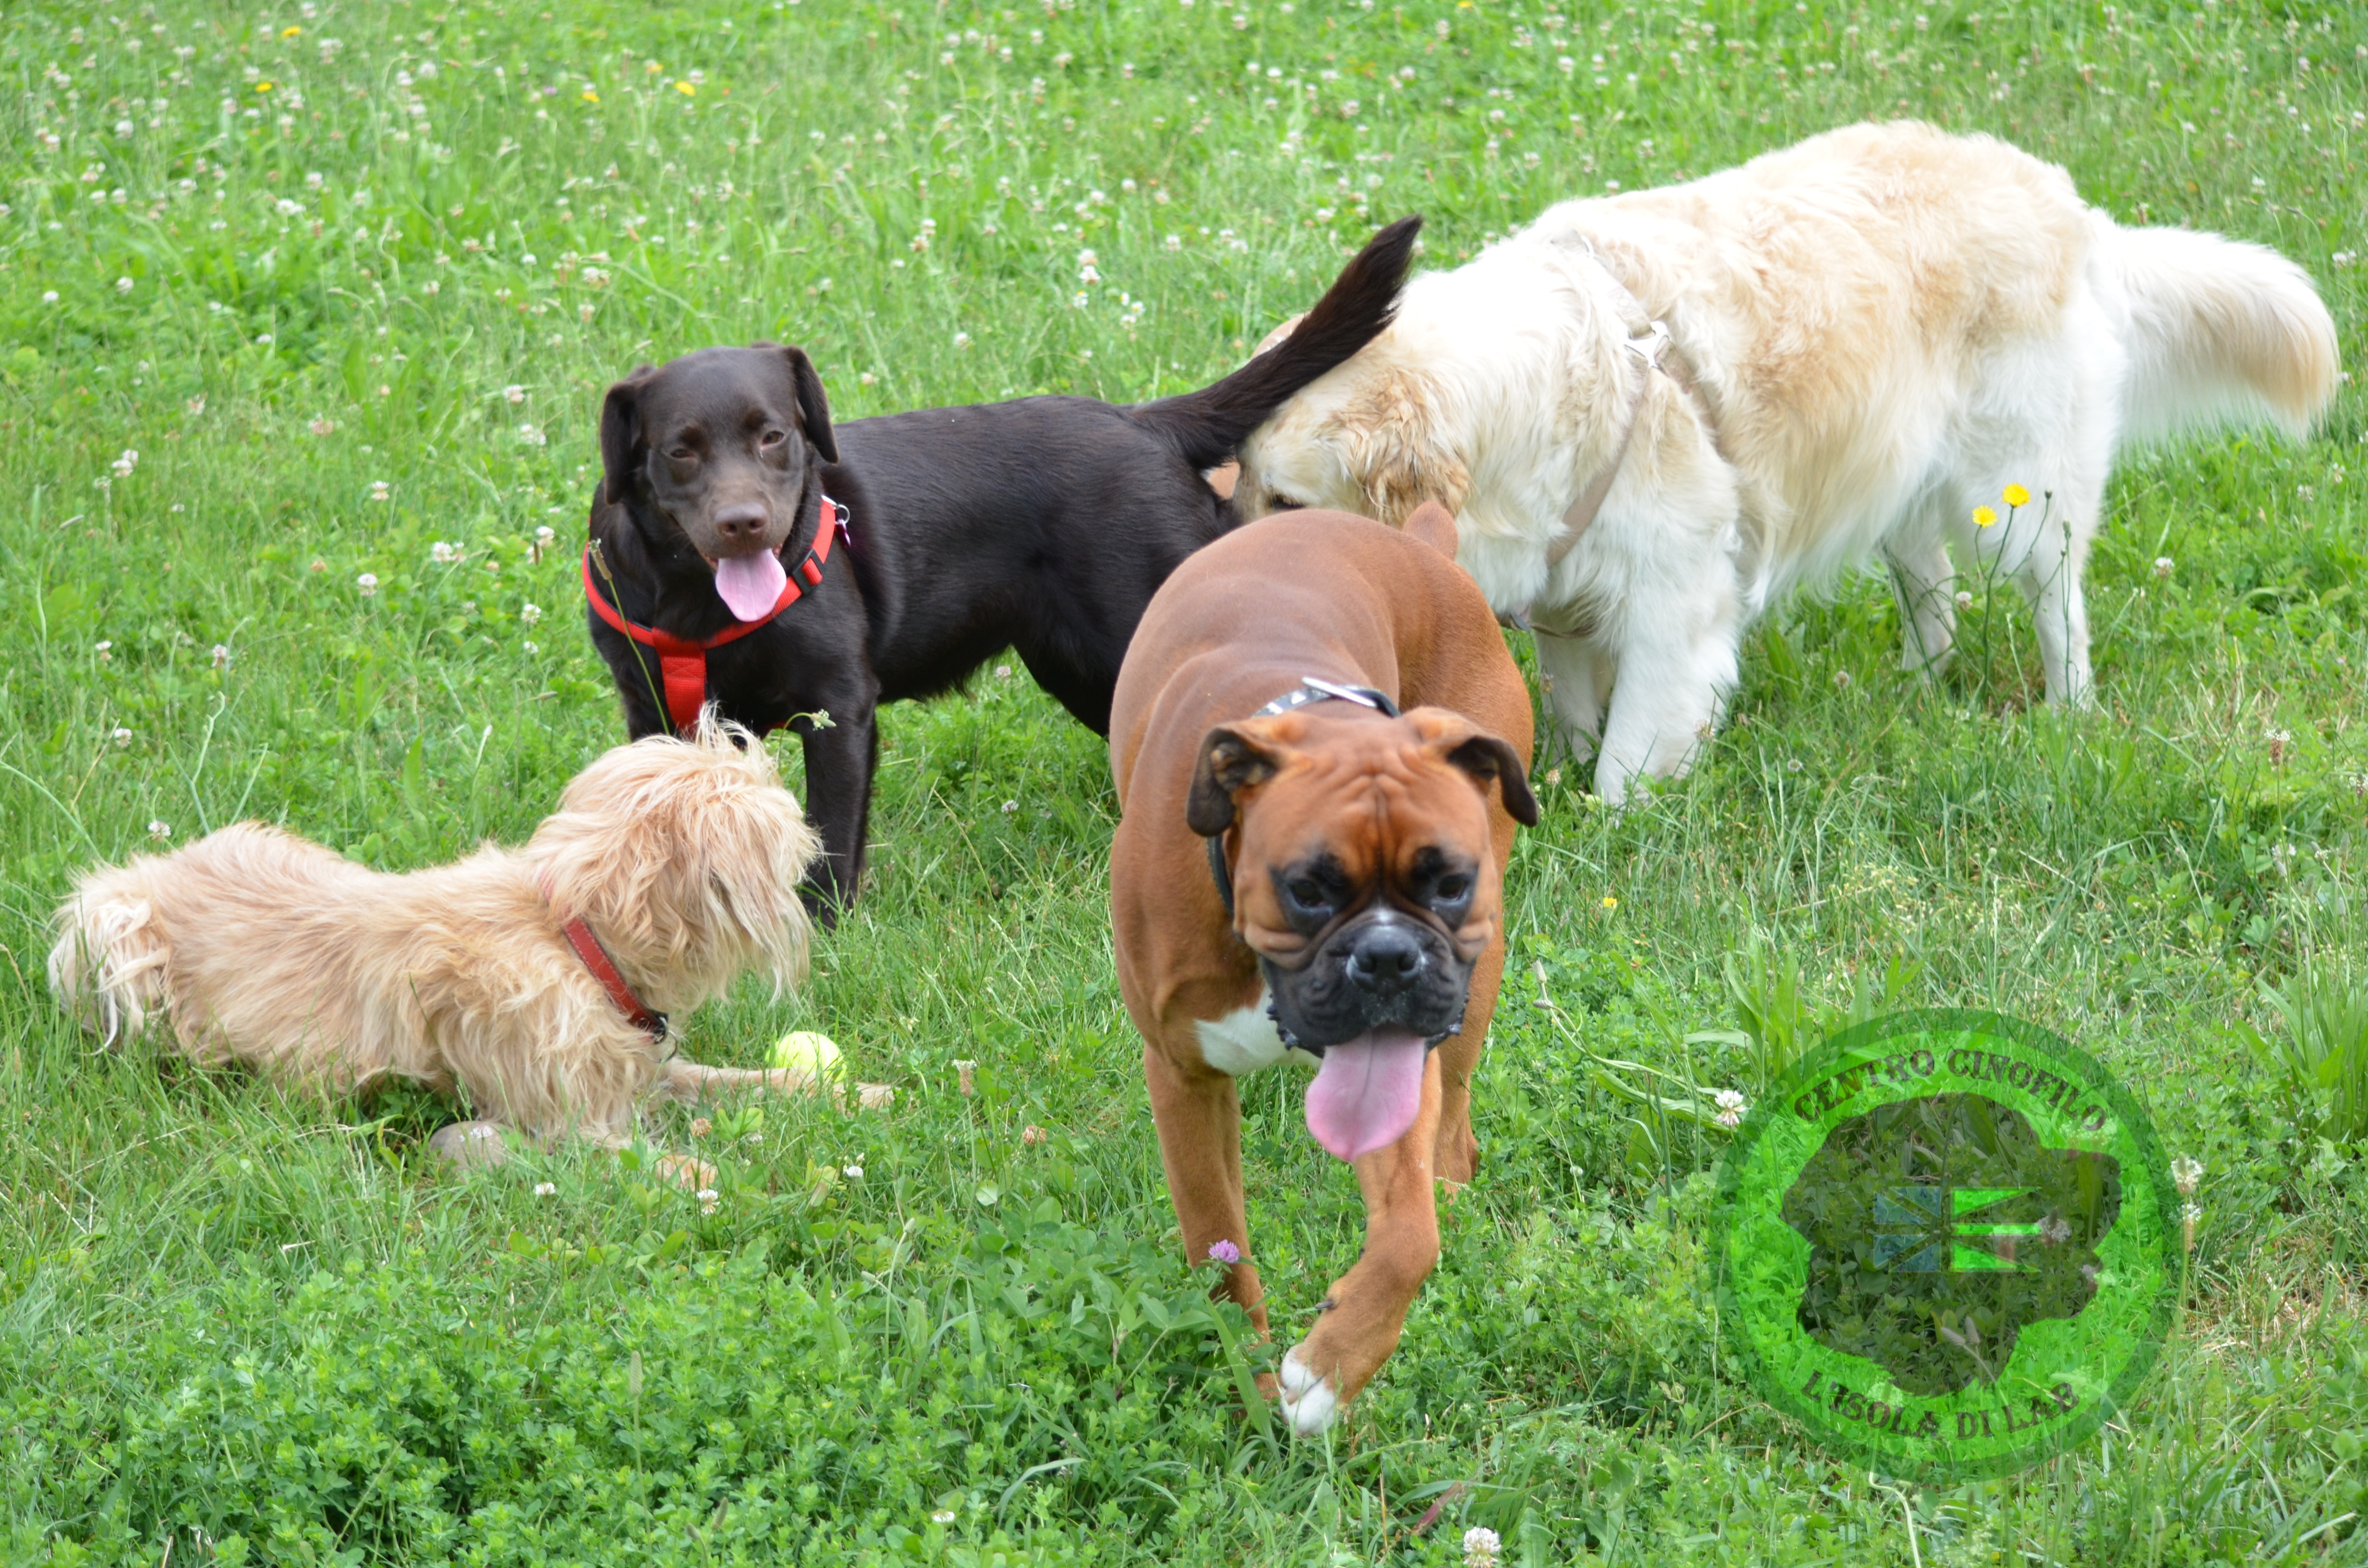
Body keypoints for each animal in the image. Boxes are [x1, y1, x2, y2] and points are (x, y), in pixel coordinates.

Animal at [46, 715, 828, 1156]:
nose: (817, 830)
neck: (573, 938)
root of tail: (142, 876)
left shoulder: (642, 1074)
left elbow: (735, 1081)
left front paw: (839, 1092)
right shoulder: (568, 1128)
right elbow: (665, 1164)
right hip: (125, 948)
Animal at [1108, 504, 1534, 1440]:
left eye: (1446, 882)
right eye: (1307, 888)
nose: (1388, 956)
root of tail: (1416, 539)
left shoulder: (1399, 1076)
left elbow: (1408, 1237)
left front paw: (1331, 1369)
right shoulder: (1183, 1079)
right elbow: (1220, 1251)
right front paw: (1251, 1383)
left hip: (1475, 988)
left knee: (1452, 1129)